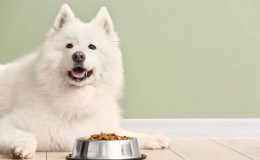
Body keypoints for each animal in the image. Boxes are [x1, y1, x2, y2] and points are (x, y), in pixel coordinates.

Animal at [0, 4, 171, 159]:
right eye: (69, 45)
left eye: (92, 47)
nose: (78, 55)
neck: (77, 98)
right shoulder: (7, 124)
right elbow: (29, 136)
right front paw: (22, 148)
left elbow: (128, 133)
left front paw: (154, 138)